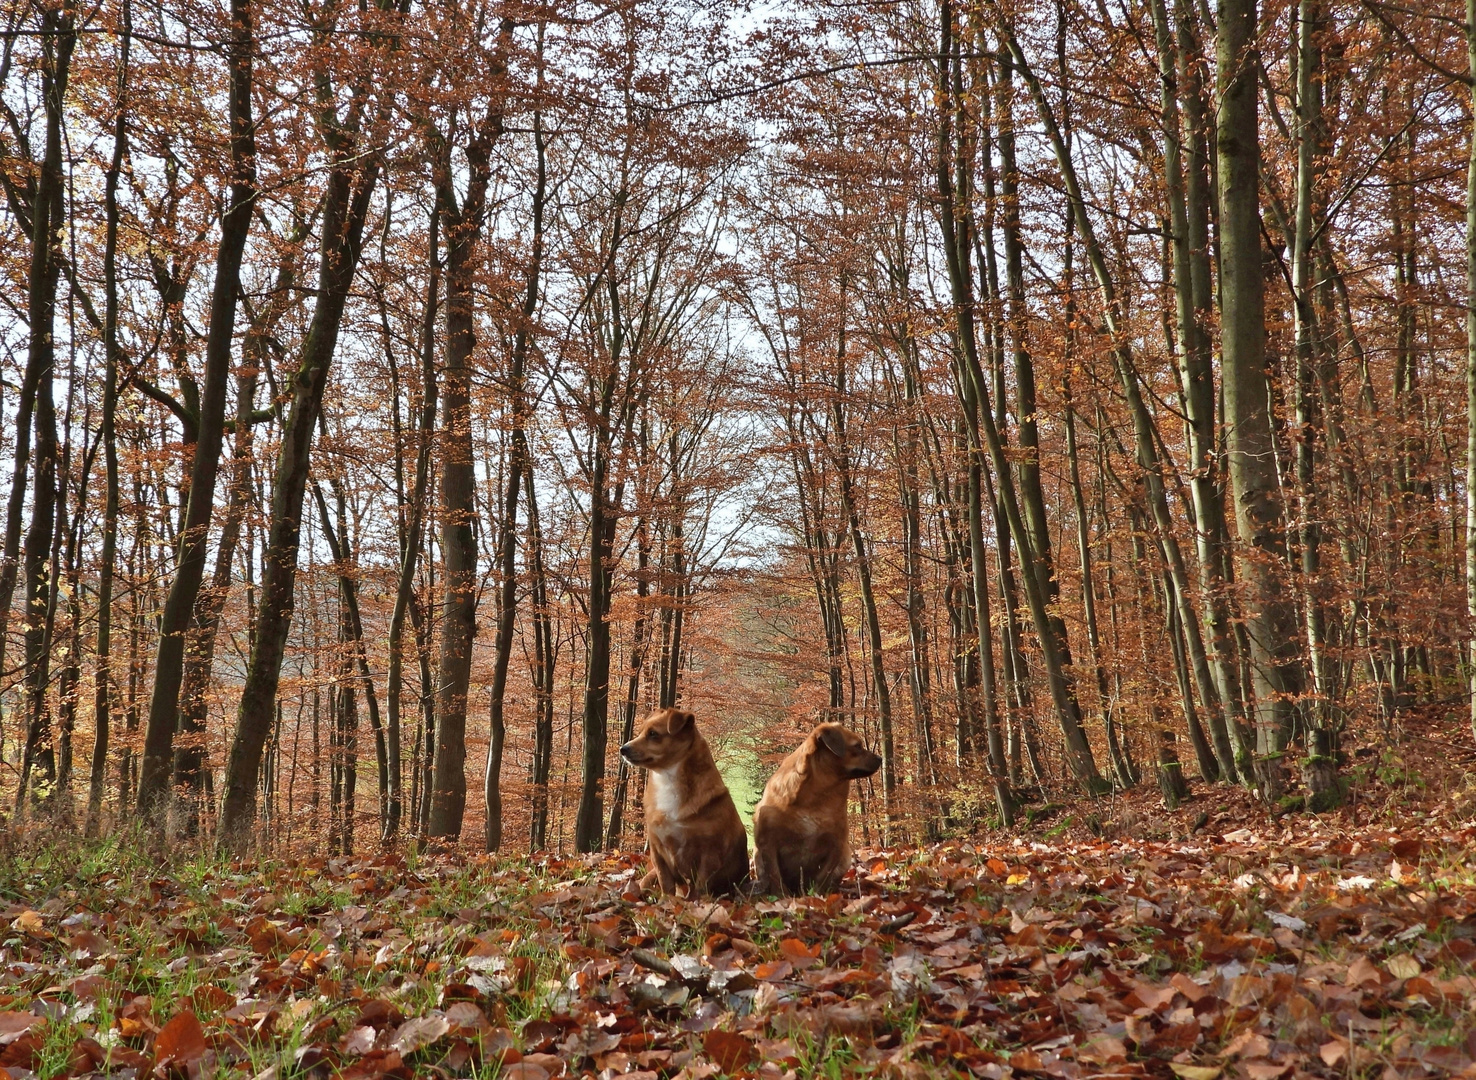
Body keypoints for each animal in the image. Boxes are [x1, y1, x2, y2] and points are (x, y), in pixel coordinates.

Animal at [616, 708, 749, 897]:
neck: (668, 779)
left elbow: (700, 887)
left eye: (653, 734)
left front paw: (693, 902)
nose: (623, 749)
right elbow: (666, 883)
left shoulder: (709, 854)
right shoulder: (658, 851)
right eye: (641, 732)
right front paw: (667, 901)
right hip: (649, 875)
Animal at [755, 725, 879, 897]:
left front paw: (816, 896)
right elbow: (775, 876)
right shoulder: (768, 844)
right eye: (857, 746)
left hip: (845, 857)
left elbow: (823, 876)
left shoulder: (837, 844)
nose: (880, 759)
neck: (816, 796)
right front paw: (783, 897)